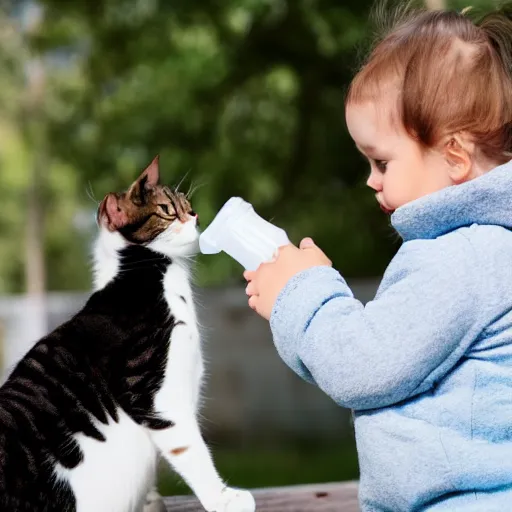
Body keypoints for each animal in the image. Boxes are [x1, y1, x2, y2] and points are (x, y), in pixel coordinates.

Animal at [0, 156, 256, 512]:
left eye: (188, 205)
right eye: (168, 209)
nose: (195, 216)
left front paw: (152, 504)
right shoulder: (155, 394)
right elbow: (191, 450)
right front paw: (224, 498)